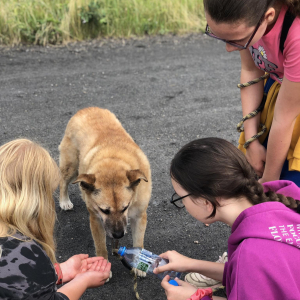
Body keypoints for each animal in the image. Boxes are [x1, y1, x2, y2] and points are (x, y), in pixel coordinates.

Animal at [58, 108, 152, 272]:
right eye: (104, 210)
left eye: (125, 207)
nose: (118, 235)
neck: (113, 160)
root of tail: (87, 108)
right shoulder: (96, 219)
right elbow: (100, 247)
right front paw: (102, 268)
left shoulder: (139, 216)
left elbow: (139, 242)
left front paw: (138, 265)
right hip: (72, 167)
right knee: (63, 181)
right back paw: (64, 201)